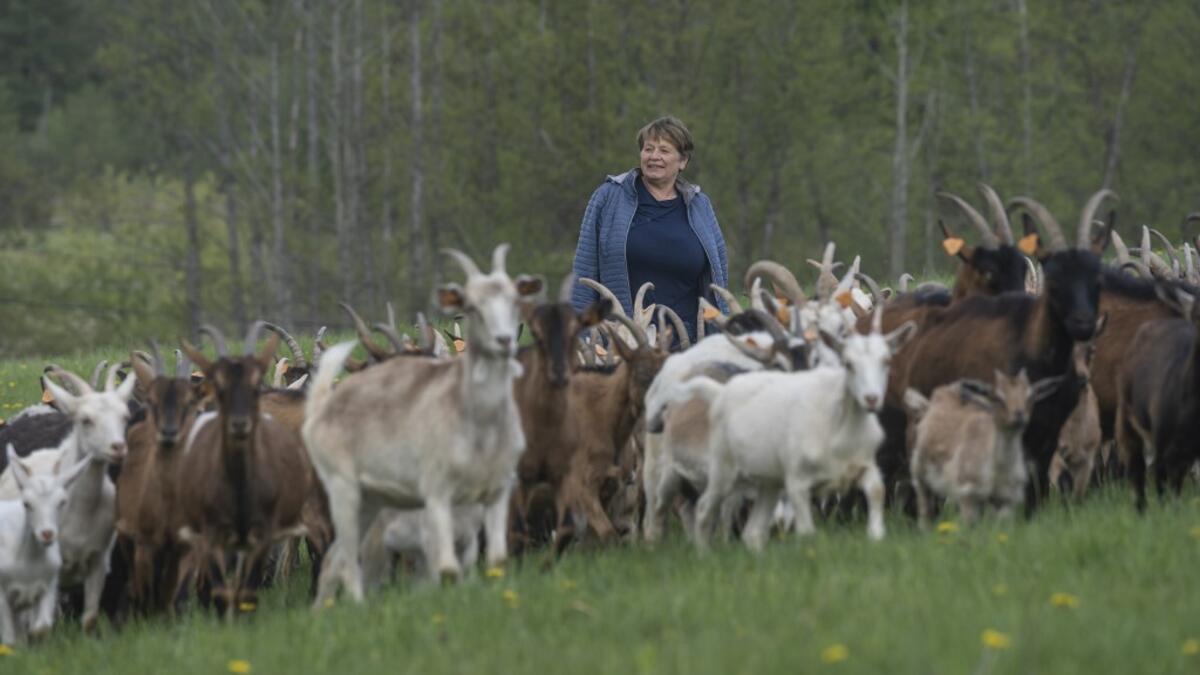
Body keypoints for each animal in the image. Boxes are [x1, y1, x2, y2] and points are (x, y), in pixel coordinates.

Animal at [0, 446, 90, 645]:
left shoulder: (49, 586)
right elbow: (8, 639)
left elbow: (41, 627)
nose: (47, 533)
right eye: (27, 504)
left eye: (62, 502)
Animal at [903, 370, 1062, 527]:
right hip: (920, 478)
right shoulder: (967, 493)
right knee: (925, 509)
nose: (1019, 414)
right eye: (997, 397)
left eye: (1030, 395)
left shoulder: (1007, 499)